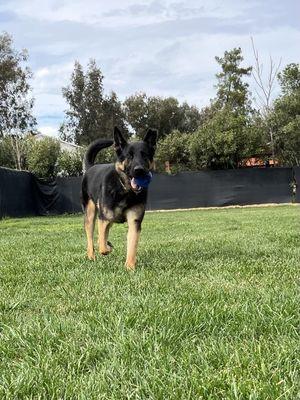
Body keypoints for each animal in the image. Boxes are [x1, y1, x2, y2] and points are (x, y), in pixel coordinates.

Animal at [81, 125, 158, 270]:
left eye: (145, 155)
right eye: (129, 156)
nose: (139, 170)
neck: (125, 190)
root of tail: (90, 168)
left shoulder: (134, 222)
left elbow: (132, 246)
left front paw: (130, 267)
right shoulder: (104, 218)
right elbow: (102, 246)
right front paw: (107, 249)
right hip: (91, 215)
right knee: (91, 238)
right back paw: (91, 256)